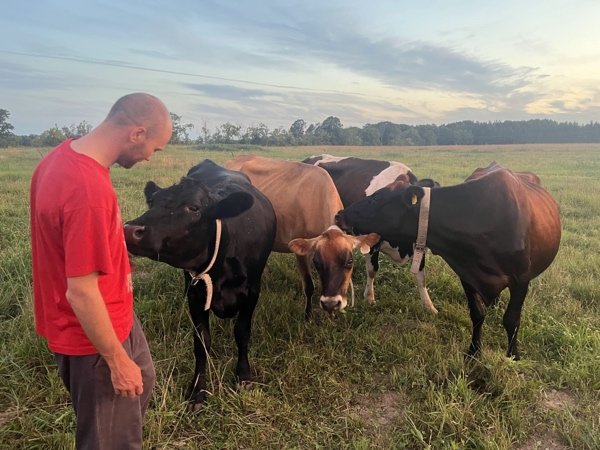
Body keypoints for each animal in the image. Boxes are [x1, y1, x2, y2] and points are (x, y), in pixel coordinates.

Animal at [126, 160, 278, 410]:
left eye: (194, 208)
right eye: (152, 202)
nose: (130, 230)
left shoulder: (252, 292)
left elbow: (242, 332)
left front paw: (243, 376)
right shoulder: (196, 294)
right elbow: (201, 342)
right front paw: (198, 390)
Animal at [227, 155, 378, 316]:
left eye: (350, 261)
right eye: (317, 262)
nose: (330, 304)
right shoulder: (301, 251)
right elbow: (309, 285)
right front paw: (308, 315)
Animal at [302, 155, 438, 312]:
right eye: (375, 196)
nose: (341, 214)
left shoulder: (420, 245)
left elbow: (421, 277)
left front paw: (429, 306)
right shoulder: (371, 243)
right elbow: (373, 270)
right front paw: (369, 298)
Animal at [338, 163, 564, 360]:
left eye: (375, 199)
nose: (340, 214)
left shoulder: (521, 279)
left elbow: (512, 319)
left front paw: (513, 355)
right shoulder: (467, 273)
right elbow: (477, 313)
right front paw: (474, 352)